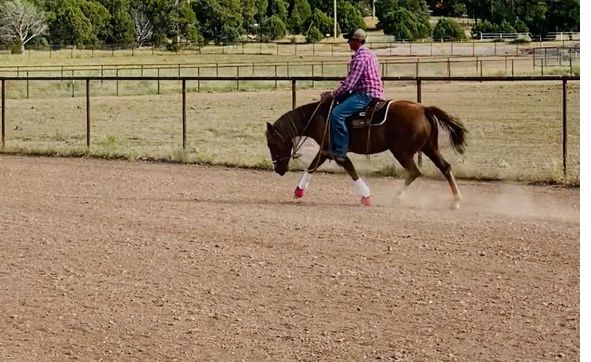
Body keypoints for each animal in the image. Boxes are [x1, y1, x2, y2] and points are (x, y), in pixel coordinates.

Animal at [264, 97, 468, 208]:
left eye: (271, 144)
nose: (278, 169)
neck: (319, 117)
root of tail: (423, 109)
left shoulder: (335, 151)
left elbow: (350, 169)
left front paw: (366, 197)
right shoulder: (326, 150)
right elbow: (313, 167)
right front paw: (298, 191)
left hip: (402, 152)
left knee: (414, 171)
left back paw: (396, 198)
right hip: (429, 147)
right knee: (445, 167)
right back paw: (456, 200)